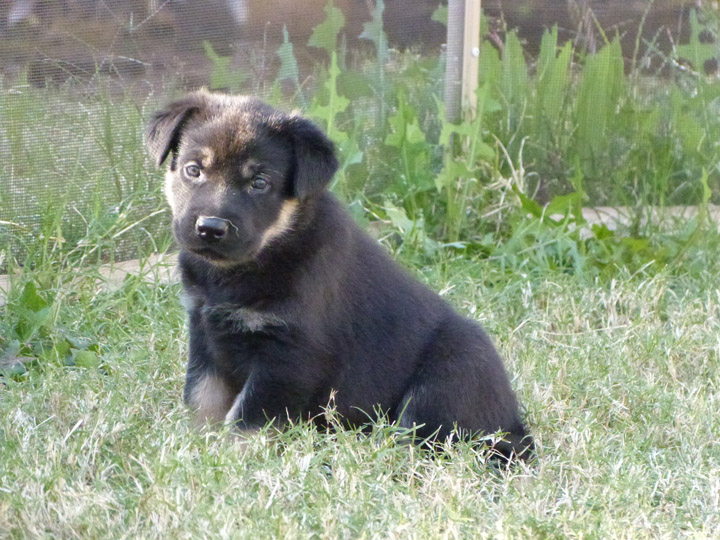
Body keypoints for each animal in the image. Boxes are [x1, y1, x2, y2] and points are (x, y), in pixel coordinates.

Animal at [145, 89, 536, 460]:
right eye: (193, 170)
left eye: (259, 182)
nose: (210, 228)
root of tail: (515, 426)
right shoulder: (204, 332)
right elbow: (202, 397)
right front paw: (196, 445)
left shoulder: (287, 353)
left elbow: (249, 415)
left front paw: (233, 457)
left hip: (449, 375)